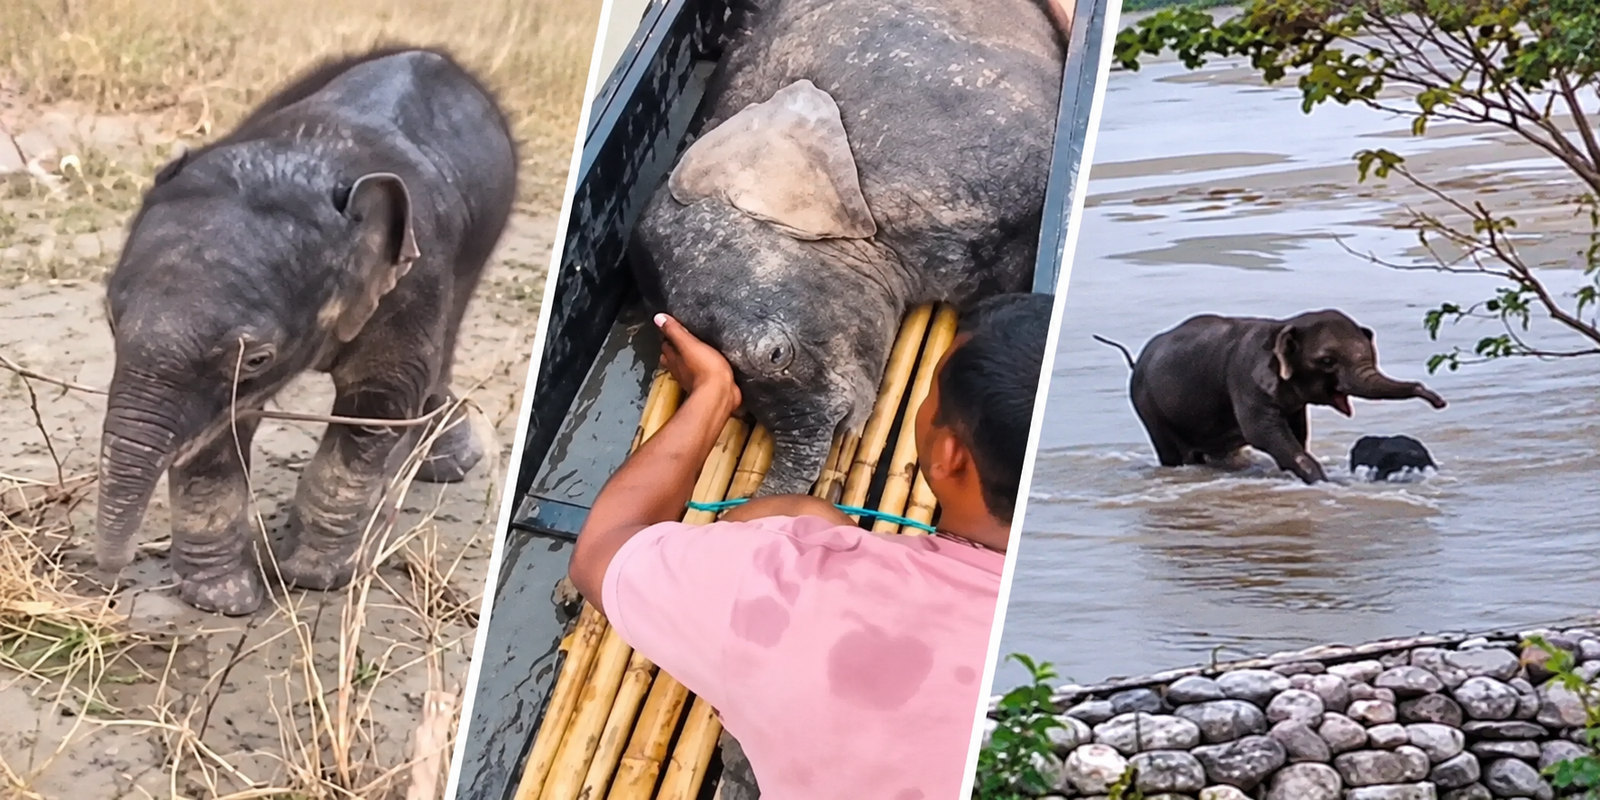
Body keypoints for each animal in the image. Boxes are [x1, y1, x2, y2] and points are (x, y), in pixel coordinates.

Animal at [95, 47, 517, 616]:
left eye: (257, 358)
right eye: (110, 319)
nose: (109, 577)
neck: (306, 156)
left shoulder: (416, 271)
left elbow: (378, 399)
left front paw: (311, 577)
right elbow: (218, 426)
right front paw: (221, 599)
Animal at [1102, 310, 1448, 485]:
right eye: (1327, 361)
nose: (1439, 401)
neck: (1284, 325)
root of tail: (1137, 360)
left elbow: (1296, 432)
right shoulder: (1245, 377)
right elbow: (1263, 433)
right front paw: (1322, 482)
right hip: (1147, 405)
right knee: (1171, 452)